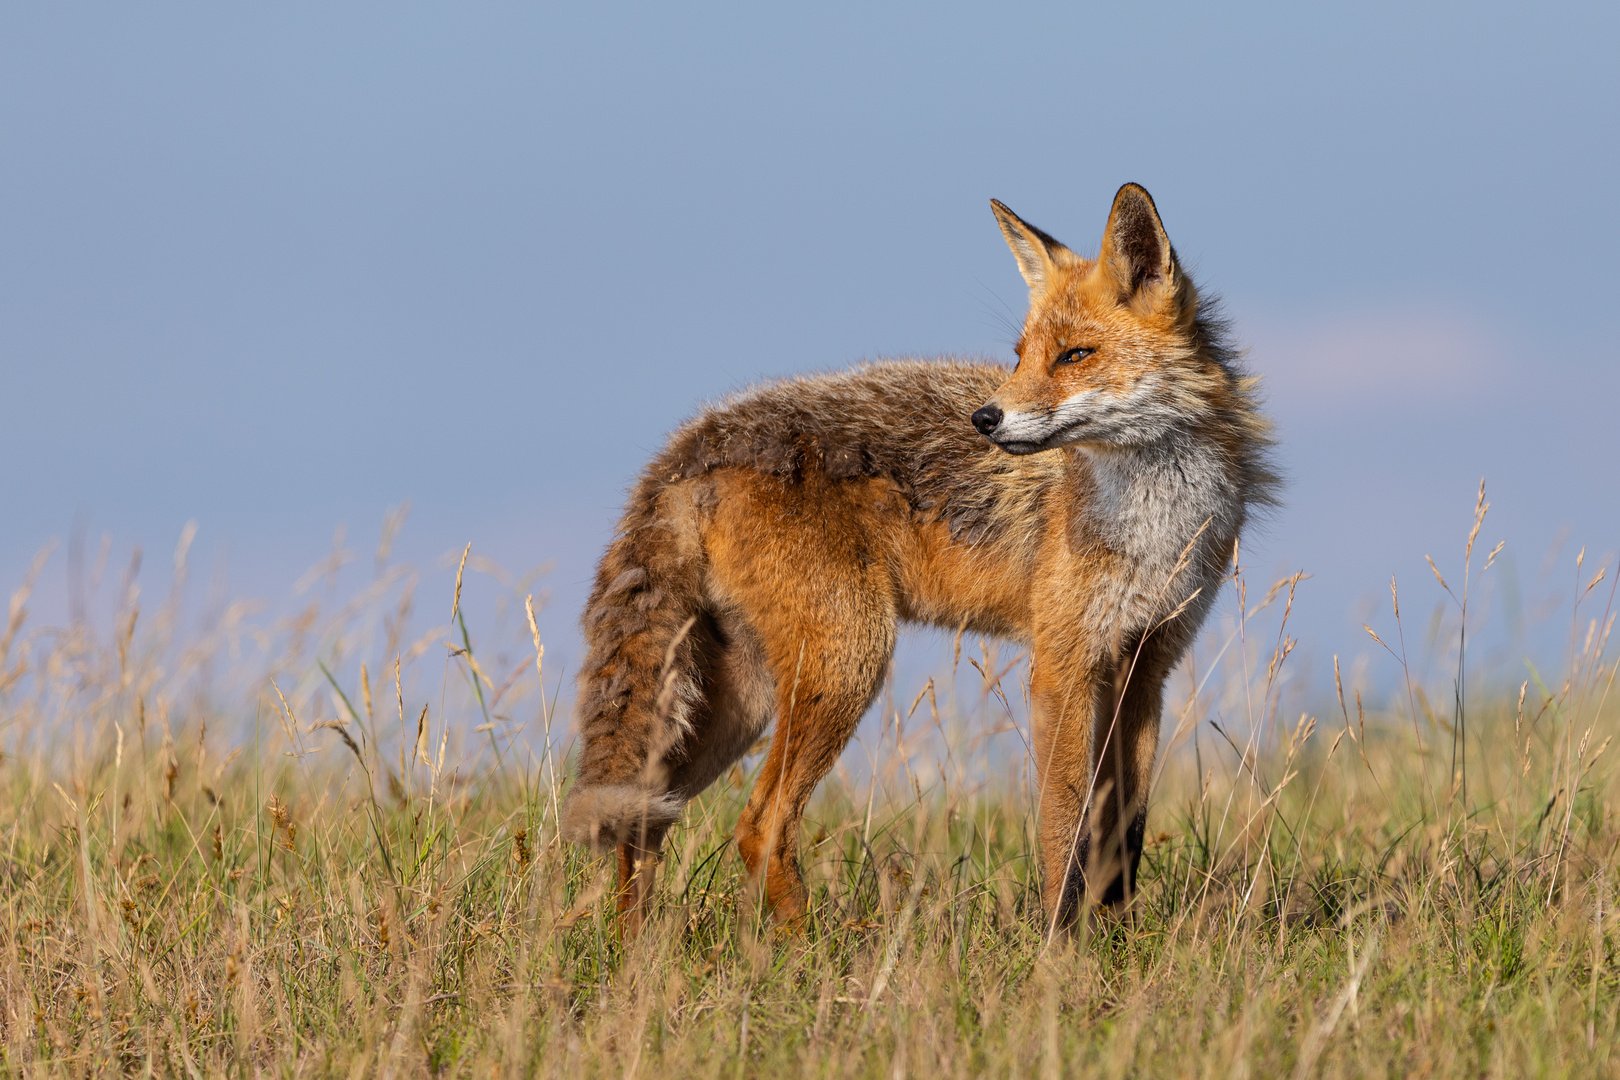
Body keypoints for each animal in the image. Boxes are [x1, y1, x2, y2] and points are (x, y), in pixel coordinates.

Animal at [557, 181, 1276, 932]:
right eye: (1020, 354)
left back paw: (639, 952)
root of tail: (696, 437)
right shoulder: (1063, 666)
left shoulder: (1146, 665)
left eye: (1075, 355)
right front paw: (1058, 944)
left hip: (743, 700)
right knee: (758, 826)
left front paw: (1119, 941)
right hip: (847, 660)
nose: (984, 419)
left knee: (649, 825)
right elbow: (1065, 831)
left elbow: (1121, 834)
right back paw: (812, 946)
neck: (1153, 519)